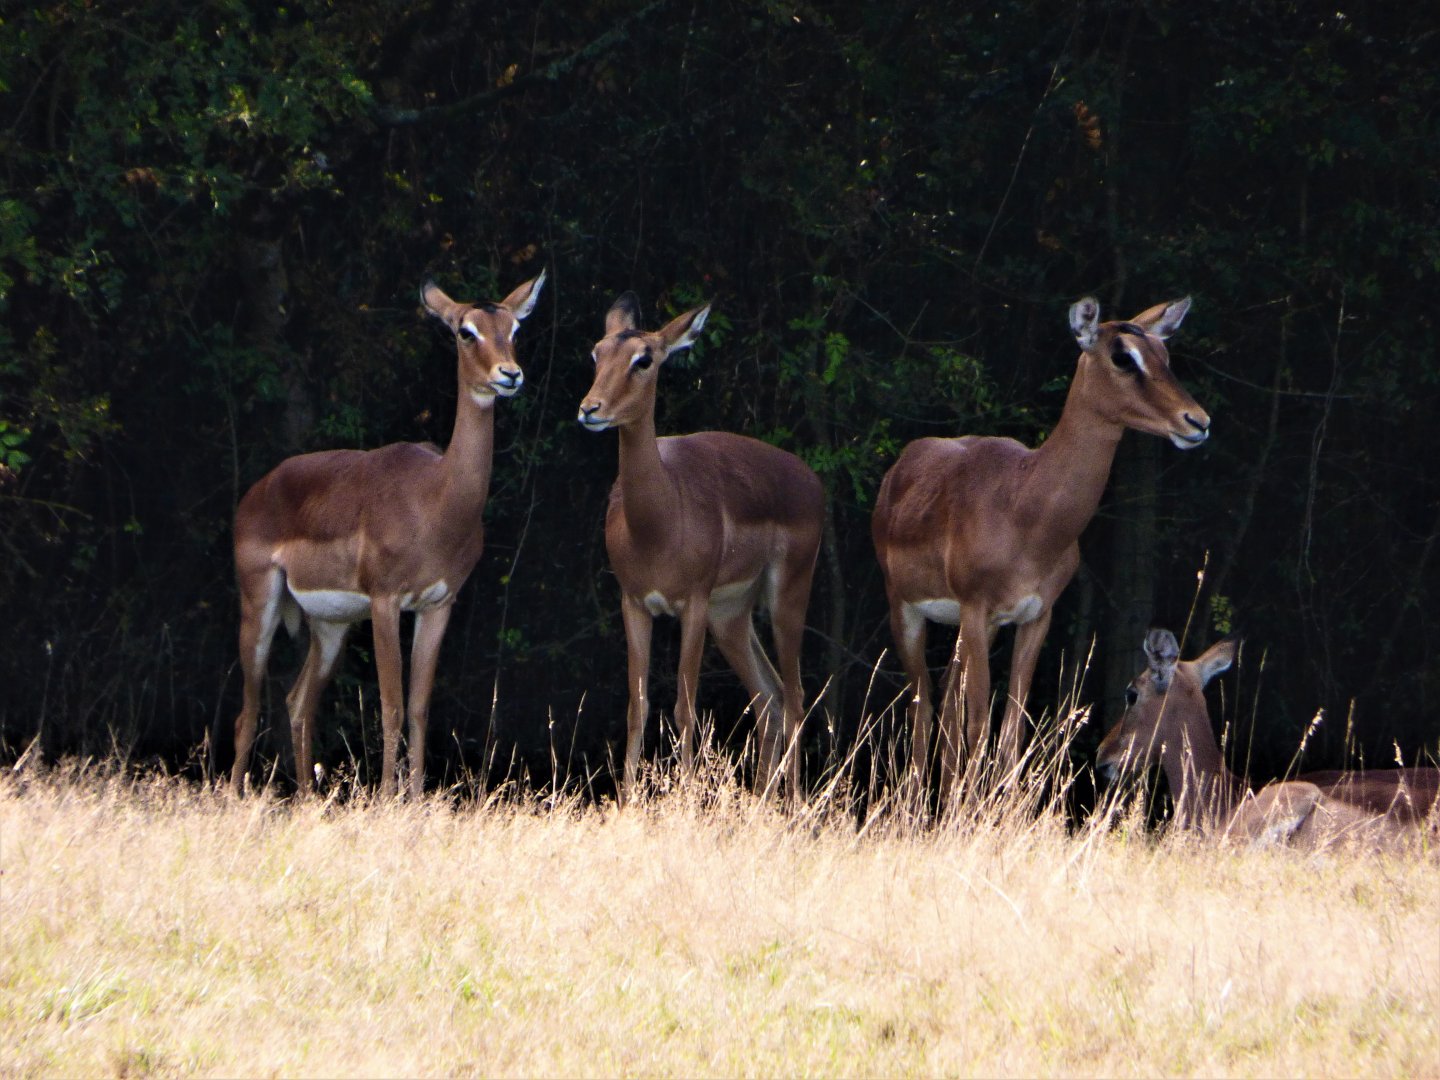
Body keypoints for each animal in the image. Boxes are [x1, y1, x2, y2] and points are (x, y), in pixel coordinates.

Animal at [230, 271, 546, 799]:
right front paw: (386, 799)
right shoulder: (385, 602)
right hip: (261, 604)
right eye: (466, 331)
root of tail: (255, 493)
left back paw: (308, 800)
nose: (510, 374)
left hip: (330, 626)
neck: (436, 499)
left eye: (514, 329)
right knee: (247, 712)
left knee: (297, 702)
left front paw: (415, 800)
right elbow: (392, 706)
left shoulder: (437, 605)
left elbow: (418, 708)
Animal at [577, 293, 824, 805]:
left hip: (785, 597)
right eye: (597, 352)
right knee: (769, 696)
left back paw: (792, 806)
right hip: (730, 616)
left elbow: (684, 706)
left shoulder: (691, 603)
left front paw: (685, 799)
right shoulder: (634, 603)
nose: (590, 409)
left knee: (795, 697)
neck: (658, 522)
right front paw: (628, 804)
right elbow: (637, 705)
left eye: (644, 359)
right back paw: (762, 802)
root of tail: (810, 480)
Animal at [873, 296, 1211, 797]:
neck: (1026, 506)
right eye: (1122, 357)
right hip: (908, 611)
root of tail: (898, 470)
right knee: (925, 705)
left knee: (947, 702)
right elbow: (980, 724)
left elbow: (1011, 728)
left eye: (1164, 355)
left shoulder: (1034, 616)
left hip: (974, 630)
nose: (1197, 422)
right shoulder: (976, 608)